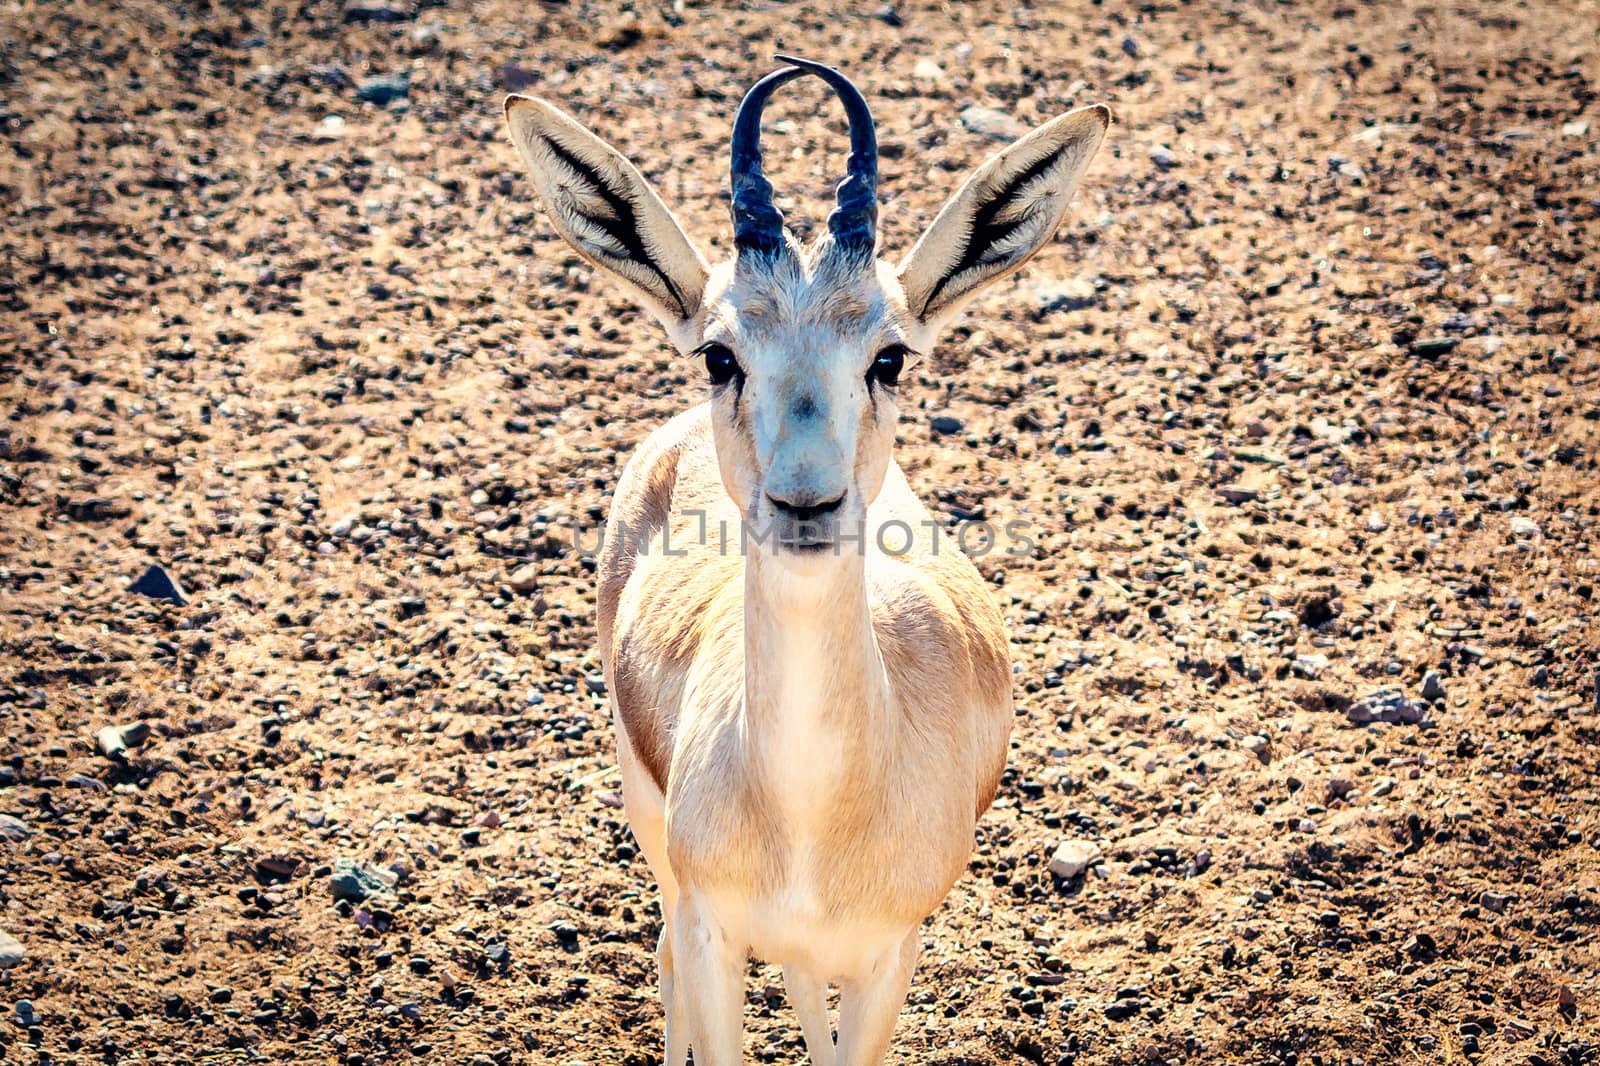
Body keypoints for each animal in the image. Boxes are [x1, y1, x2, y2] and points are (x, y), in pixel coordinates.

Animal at [505, 56, 1107, 1062]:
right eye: (720, 354)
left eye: (890, 356)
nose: (806, 502)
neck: (813, 821)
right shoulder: (712, 931)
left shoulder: (888, 957)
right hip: (646, 816)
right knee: (664, 955)